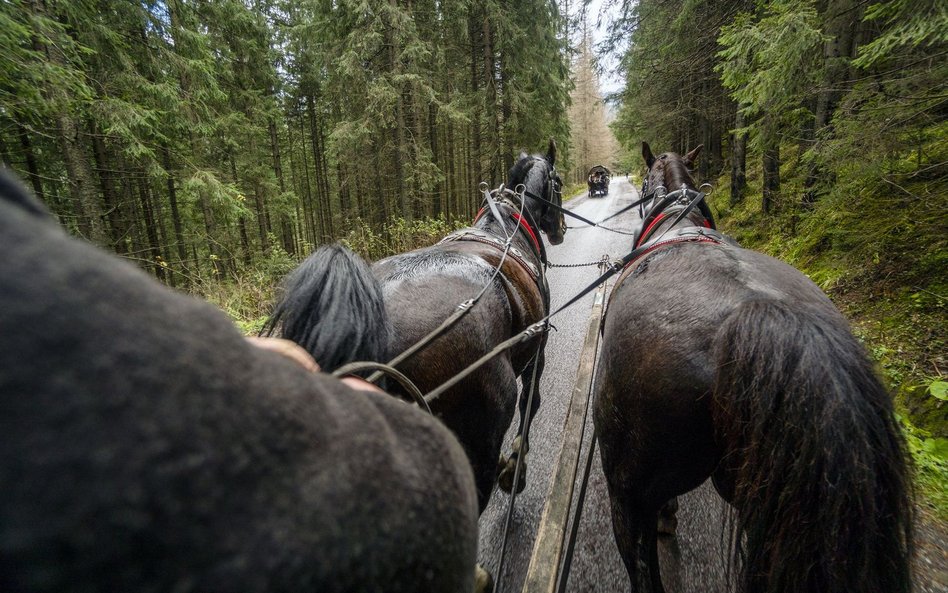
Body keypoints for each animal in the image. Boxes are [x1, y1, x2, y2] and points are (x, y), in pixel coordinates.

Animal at [266, 140, 564, 512]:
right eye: (560, 182)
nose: (560, 231)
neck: (507, 224)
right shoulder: (538, 351)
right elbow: (531, 404)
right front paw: (515, 471)